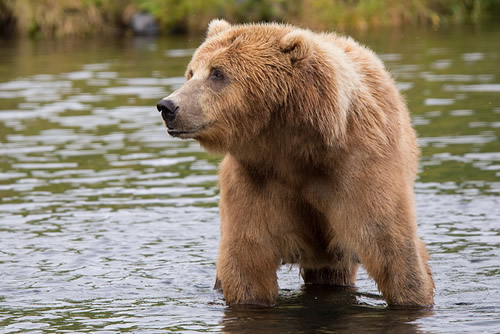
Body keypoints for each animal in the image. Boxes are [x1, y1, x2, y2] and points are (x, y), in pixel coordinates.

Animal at [156, 17, 434, 306]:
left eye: (217, 73)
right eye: (191, 72)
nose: (168, 106)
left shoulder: (359, 167)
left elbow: (390, 245)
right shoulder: (255, 178)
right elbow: (247, 258)